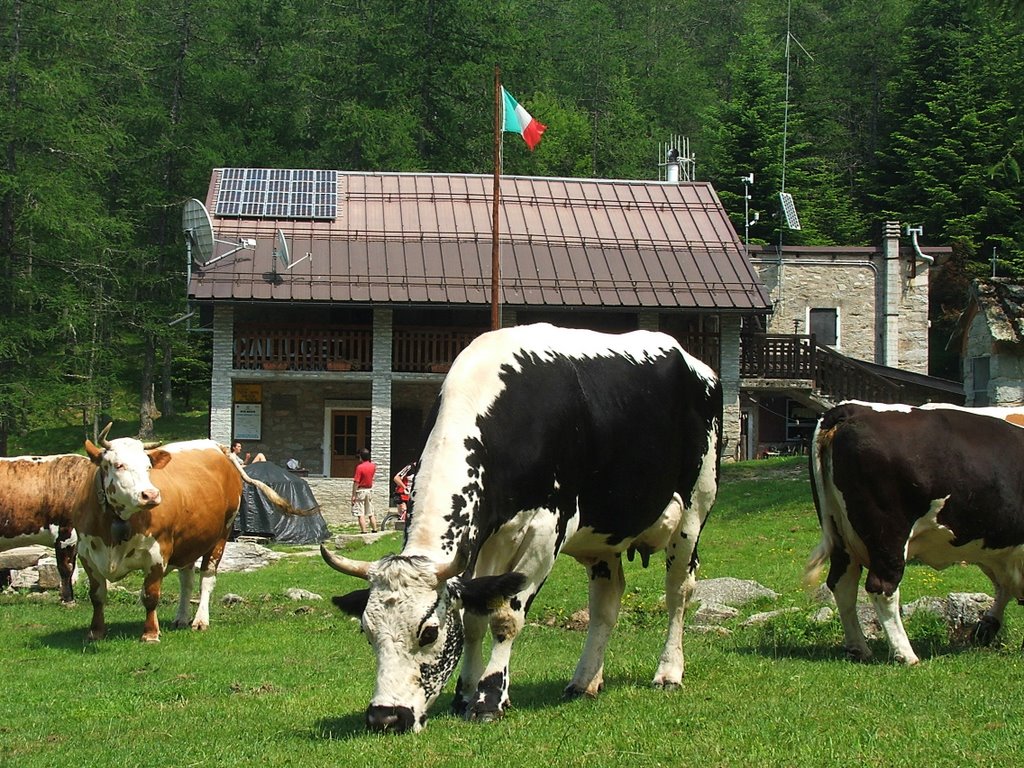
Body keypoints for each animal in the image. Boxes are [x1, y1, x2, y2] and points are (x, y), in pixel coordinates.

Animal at [319, 323, 720, 733]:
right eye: (367, 631)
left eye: (428, 632)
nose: (385, 716)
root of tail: (695, 362)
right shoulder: (485, 542)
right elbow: (473, 616)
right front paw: (465, 694)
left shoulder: (547, 529)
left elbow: (505, 617)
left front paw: (489, 699)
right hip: (604, 538)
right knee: (606, 602)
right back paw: (585, 681)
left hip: (695, 506)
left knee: (678, 592)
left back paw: (668, 673)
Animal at [802, 403, 1024, 667]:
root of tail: (853, 408)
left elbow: (1004, 587)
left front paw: (986, 628)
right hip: (888, 535)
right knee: (882, 587)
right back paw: (905, 654)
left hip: (840, 532)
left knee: (842, 584)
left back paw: (859, 648)